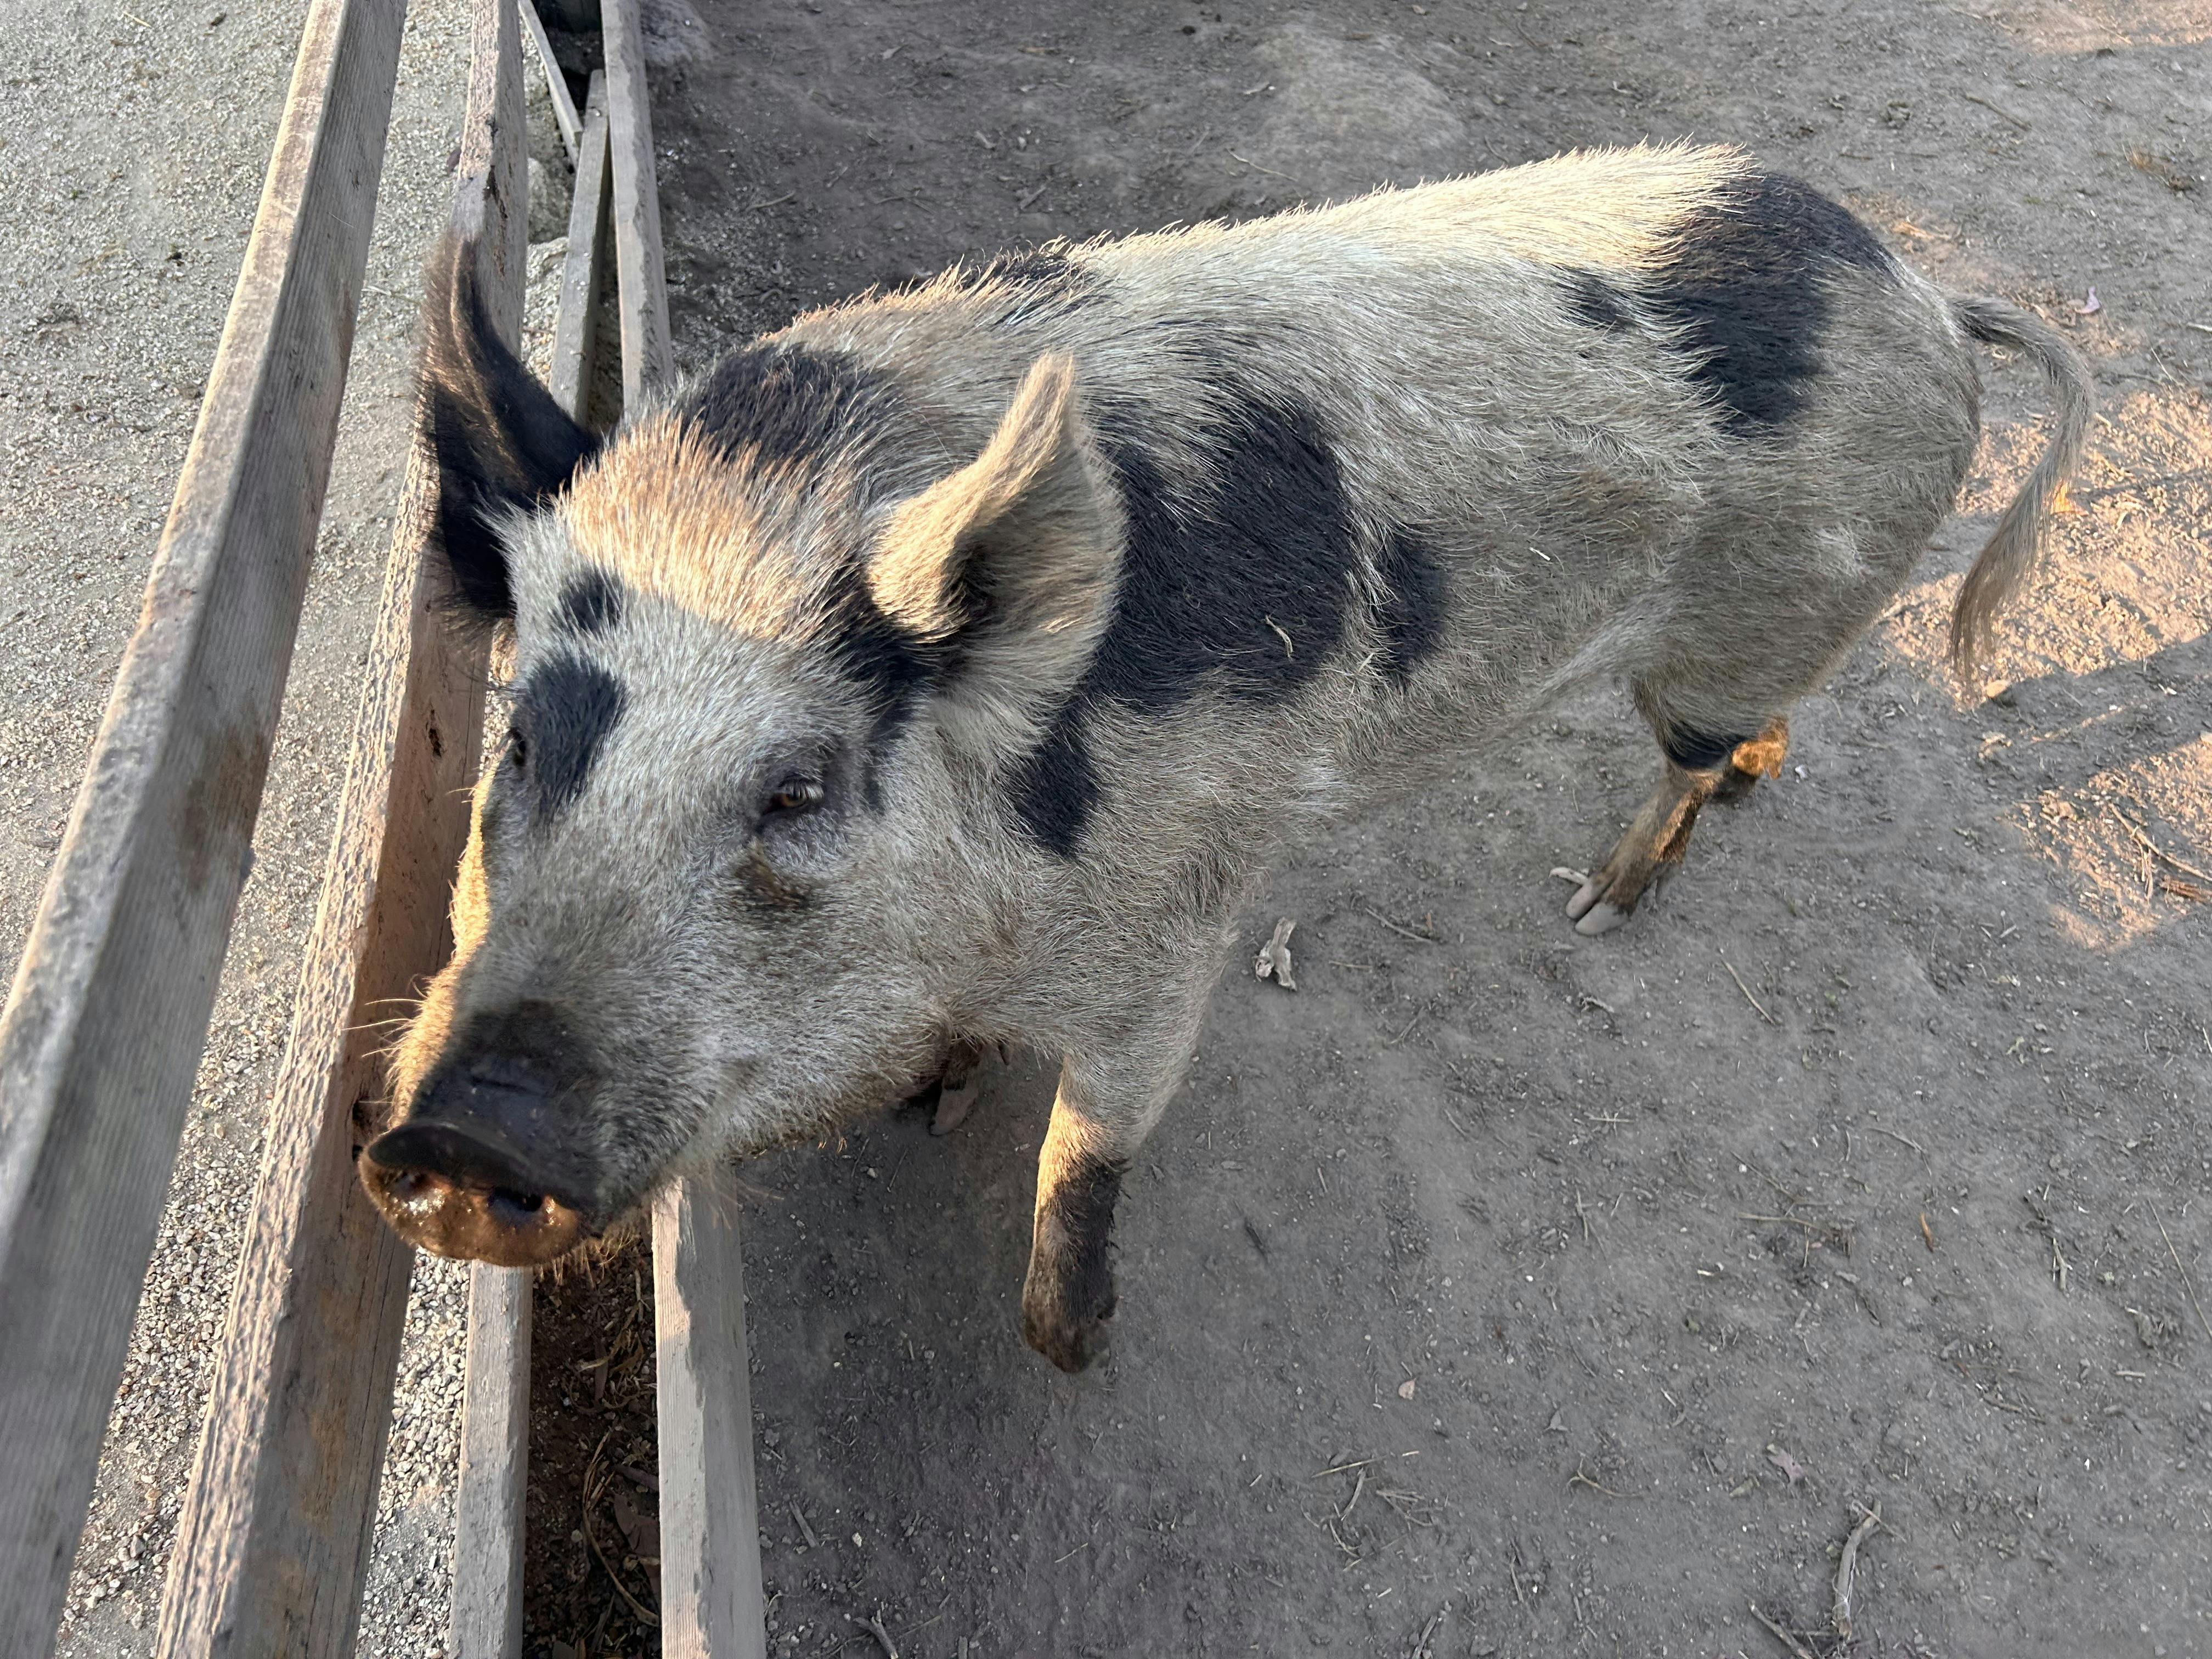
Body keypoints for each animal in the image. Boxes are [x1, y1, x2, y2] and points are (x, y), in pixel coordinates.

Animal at [361, 142, 2090, 1371]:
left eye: (796, 789)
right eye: (522, 738)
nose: (456, 1130)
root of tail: (1928, 296)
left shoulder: (1167, 937)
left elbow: (1091, 1145)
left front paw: (1074, 1350)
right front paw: (940, 1100)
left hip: (1737, 634)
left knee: (1690, 763)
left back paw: (1599, 905)